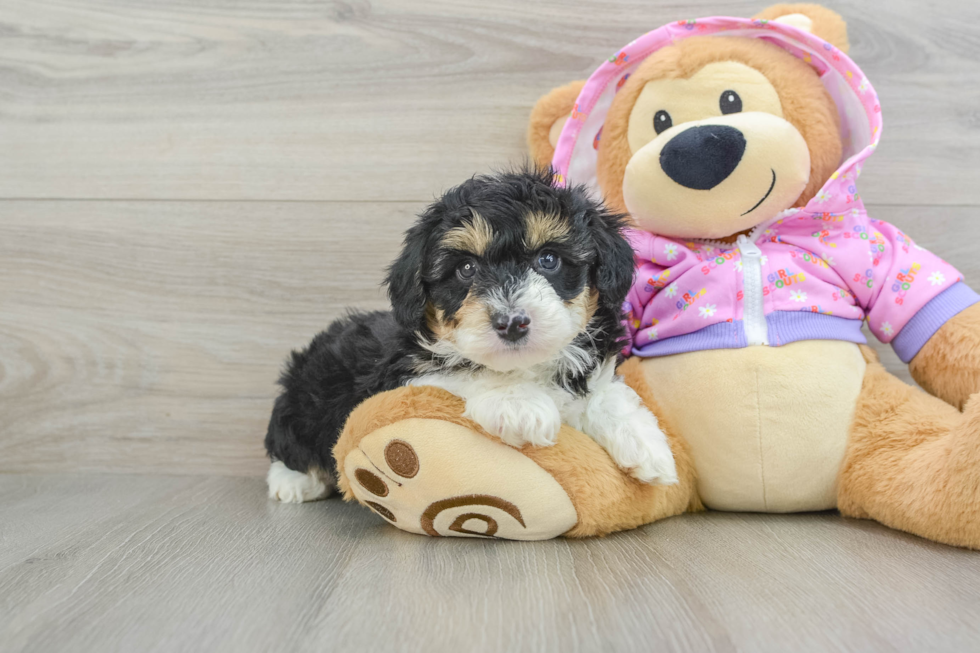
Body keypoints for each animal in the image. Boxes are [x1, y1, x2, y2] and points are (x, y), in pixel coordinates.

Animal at [264, 166, 676, 502]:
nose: (512, 322)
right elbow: (463, 368)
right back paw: (294, 482)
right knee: (286, 445)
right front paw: (519, 404)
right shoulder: (405, 374)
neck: (527, 367)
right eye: (465, 269)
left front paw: (646, 444)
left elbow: (607, 394)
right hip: (303, 401)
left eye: (548, 259)